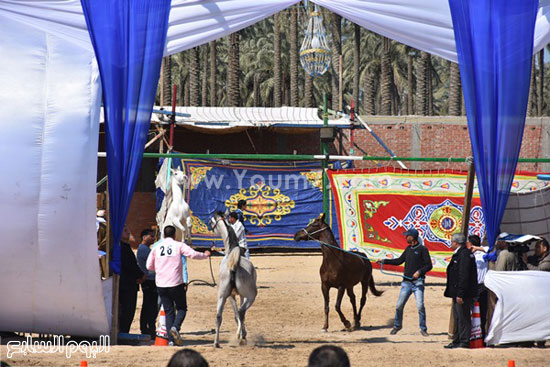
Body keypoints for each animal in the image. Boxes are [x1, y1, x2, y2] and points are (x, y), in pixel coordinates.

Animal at [209, 213, 258, 348]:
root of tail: (234, 267)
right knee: (241, 312)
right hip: (250, 296)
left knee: (219, 316)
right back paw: (241, 338)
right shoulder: (238, 295)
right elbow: (239, 315)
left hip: (222, 296)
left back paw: (216, 343)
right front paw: (241, 334)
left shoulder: (231, 295)